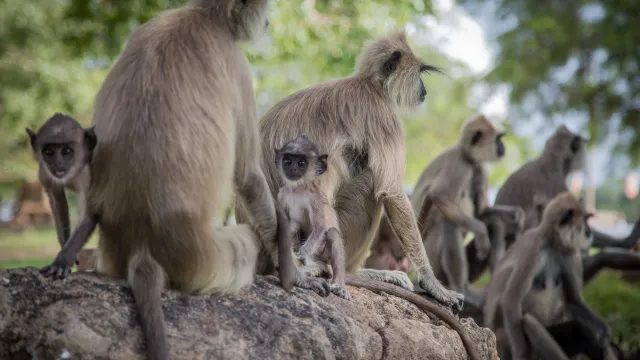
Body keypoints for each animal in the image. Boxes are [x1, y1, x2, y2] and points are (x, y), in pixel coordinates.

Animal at [25, 112, 96, 270]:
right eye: (49, 152)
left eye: (66, 151)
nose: (58, 163)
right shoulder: (45, 173)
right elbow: (58, 201)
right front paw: (65, 247)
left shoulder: (88, 174)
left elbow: (89, 214)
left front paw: (61, 262)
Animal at [38, 0, 330, 360]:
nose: (267, 23)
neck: (200, 15)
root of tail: (142, 245)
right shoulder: (236, 63)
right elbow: (247, 174)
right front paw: (296, 277)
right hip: (210, 261)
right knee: (248, 234)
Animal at [239, 31, 464, 310]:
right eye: (419, 73)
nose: (424, 89)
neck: (368, 85)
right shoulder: (383, 116)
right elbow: (390, 192)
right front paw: (434, 285)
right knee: (371, 183)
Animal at [484, 193, 616, 360]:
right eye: (585, 220)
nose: (589, 231)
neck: (553, 243)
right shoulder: (534, 249)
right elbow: (511, 297)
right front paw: (521, 352)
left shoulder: (570, 253)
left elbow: (573, 298)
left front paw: (603, 330)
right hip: (503, 336)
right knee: (528, 321)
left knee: (579, 329)